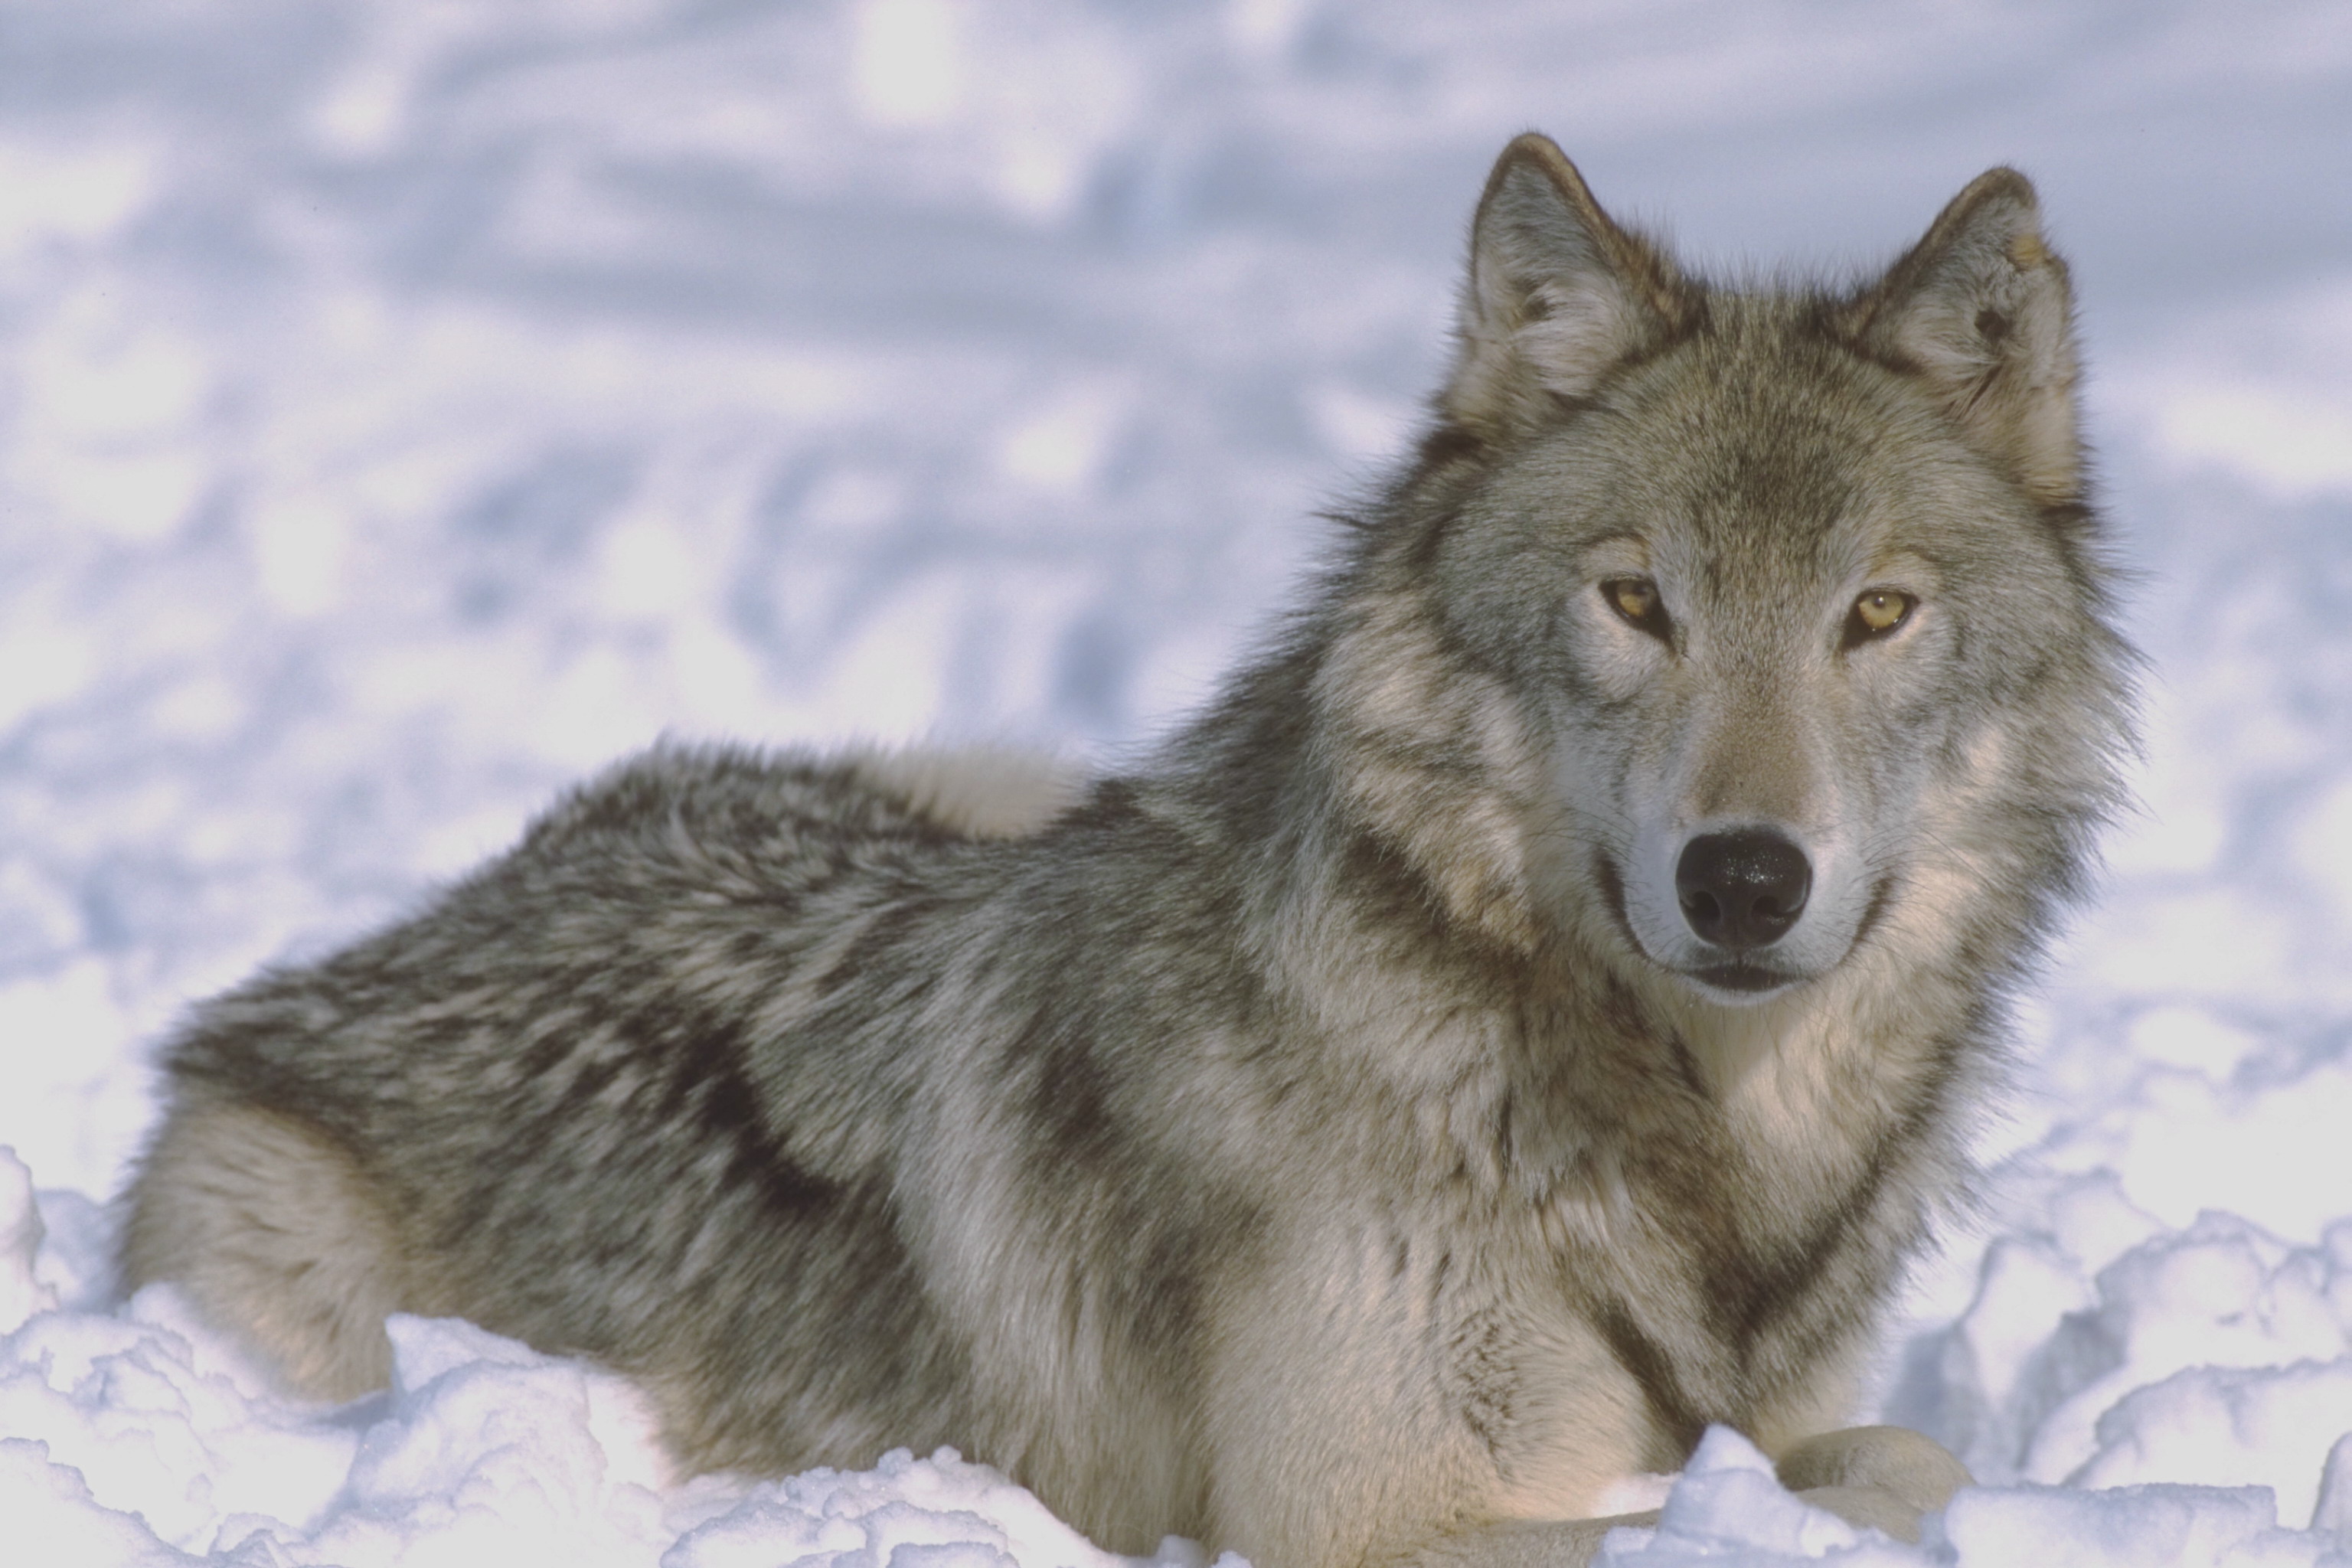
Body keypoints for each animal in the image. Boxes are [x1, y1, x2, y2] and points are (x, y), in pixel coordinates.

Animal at [119, 138, 2135, 1568]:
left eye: (1875, 612)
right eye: (1637, 601)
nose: (1741, 879)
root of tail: (402, 934)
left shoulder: (1767, 1405)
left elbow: (1879, 1448)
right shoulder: (1365, 1521)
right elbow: (1866, 1490)